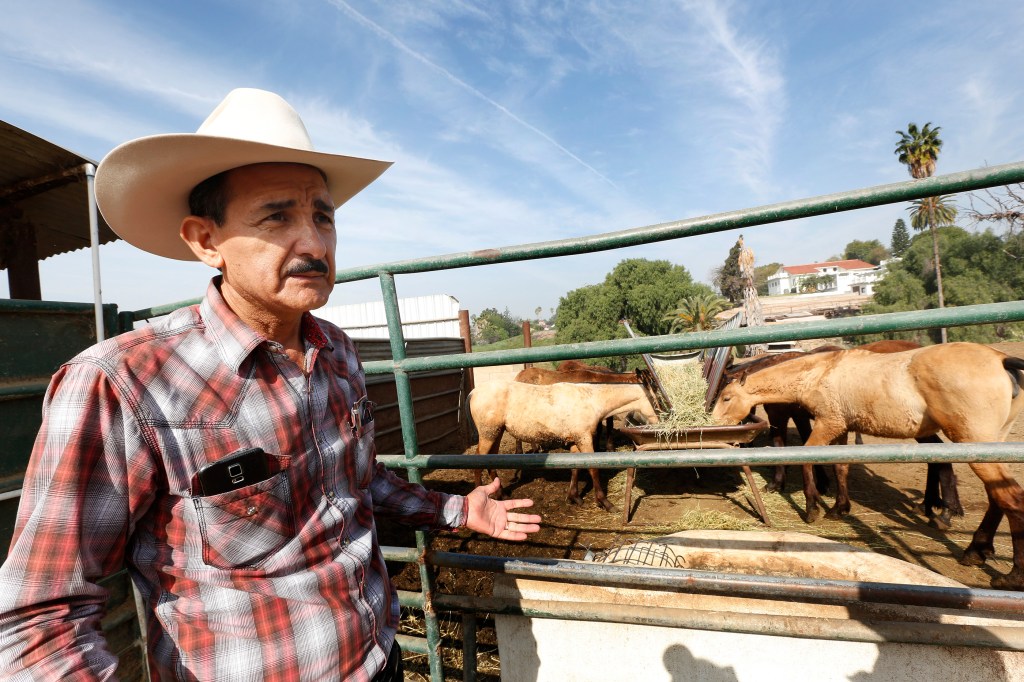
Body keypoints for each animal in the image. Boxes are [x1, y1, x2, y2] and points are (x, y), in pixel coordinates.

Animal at [468, 376, 659, 509]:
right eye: (656, 401)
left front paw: (574, 497)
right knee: (478, 460)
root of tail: (473, 393)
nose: (661, 420)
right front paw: (604, 502)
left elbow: (575, 467)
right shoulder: (584, 439)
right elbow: (593, 469)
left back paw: (502, 494)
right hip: (488, 434)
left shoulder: (575, 440)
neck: (590, 400)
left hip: (496, 433)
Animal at [712, 342, 1024, 585]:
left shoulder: (827, 424)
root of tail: (1001, 360)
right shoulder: (840, 428)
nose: (711, 424)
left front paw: (812, 508)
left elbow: (807, 460)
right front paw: (839, 508)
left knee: (1010, 498)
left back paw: (1011, 575)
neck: (820, 372)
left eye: (726, 397)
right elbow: (840, 467)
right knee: (997, 497)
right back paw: (974, 551)